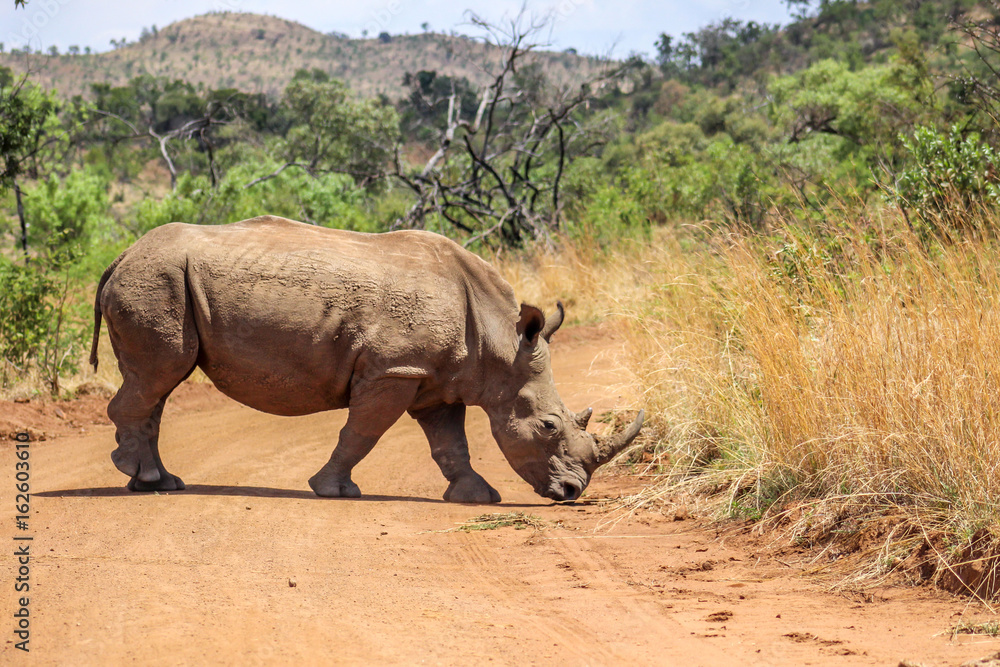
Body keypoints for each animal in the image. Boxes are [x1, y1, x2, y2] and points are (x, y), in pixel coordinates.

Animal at [89, 216, 643, 503]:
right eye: (549, 425)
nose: (572, 491)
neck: (500, 342)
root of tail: (118, 256)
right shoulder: (395, 369)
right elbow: (362, 431)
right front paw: (333, 490)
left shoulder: (436, 380)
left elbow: (451, 445)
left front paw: (477, 497)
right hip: (156, 280)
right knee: (160, 374)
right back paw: (148, 480)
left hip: (158, 279)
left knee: (158, 383)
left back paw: (157, 482)